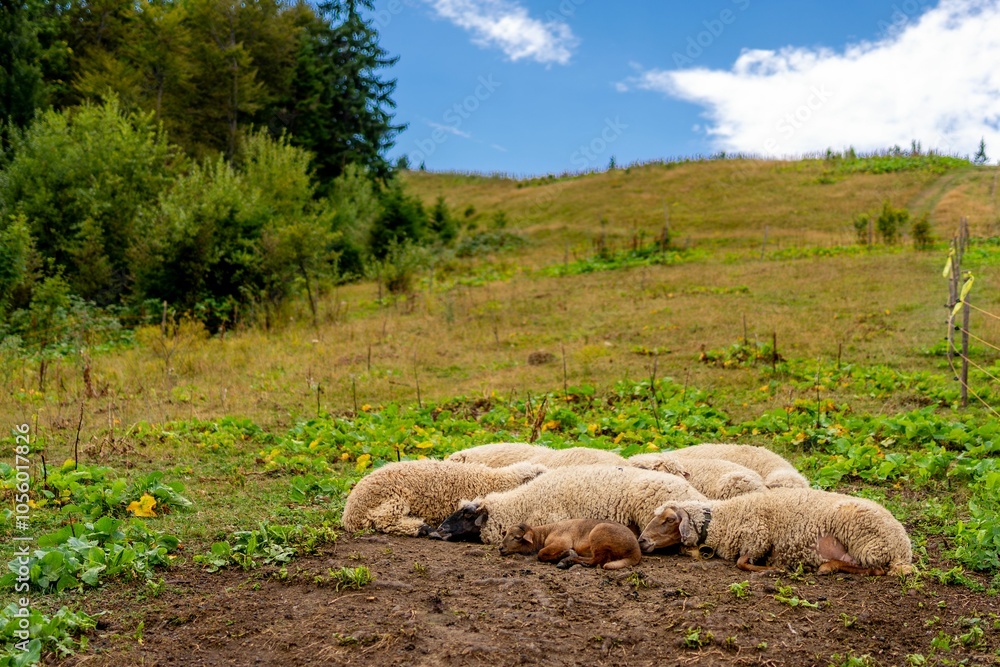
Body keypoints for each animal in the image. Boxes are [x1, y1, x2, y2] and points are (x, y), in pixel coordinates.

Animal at [499, 519, 641, 570]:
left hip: (598, 535)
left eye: (517, 537)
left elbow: (540, 554)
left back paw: (568, 560)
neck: (545, 533)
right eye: (505, 535)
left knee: (598, 560)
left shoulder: (561, 542)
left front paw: (565, 554)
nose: (500, 548)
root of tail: (635, 551)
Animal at [637, 488, 913, 576]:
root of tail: (903, 549)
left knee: (876, 569)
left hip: (866, 542)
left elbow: (741, 563)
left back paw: (827, 567)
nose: (641, 541)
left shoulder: (758, 534)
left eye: (668, 519)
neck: (724, 519)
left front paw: (773, 568)